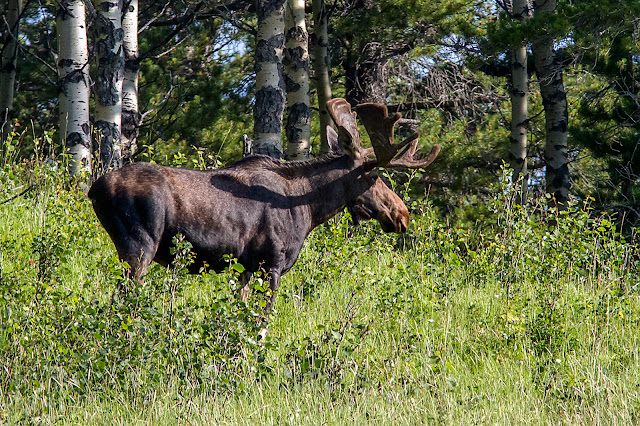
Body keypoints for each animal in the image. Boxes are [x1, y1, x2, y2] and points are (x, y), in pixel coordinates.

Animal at [88, 98, 440, 314]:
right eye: (374, 176)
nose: (402, 215)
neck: (309, 209)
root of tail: (94, 190)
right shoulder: (272, 262)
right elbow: (262, 322)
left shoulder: (246, 266)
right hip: (139, 247)